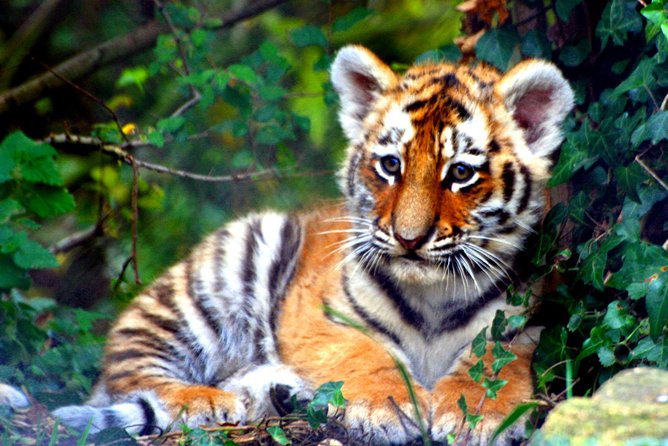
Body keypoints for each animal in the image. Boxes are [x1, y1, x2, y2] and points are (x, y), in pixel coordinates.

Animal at [7, 45, 574, 444]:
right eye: (391, 165)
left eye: (459, 173)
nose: (409, 239)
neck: (432, 293)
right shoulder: (324, 315)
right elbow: (365, 352)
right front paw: (386, 407)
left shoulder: (525, 318)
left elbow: (493, 360)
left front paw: (475, 413)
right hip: (215, 276)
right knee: (128, 372)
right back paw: (209, 401)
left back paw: (278, 393)